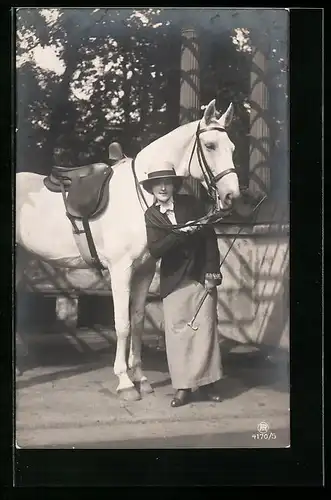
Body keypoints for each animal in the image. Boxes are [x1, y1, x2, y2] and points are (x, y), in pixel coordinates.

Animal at [15, 99, 241, 400]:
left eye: (233, 148)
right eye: (211, 145)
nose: (231, 196)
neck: (141, 195)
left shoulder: (144, 270)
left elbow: (137, 321)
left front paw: (141, 378)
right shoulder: (121, 270)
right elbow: (122, 325)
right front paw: (124, 382)